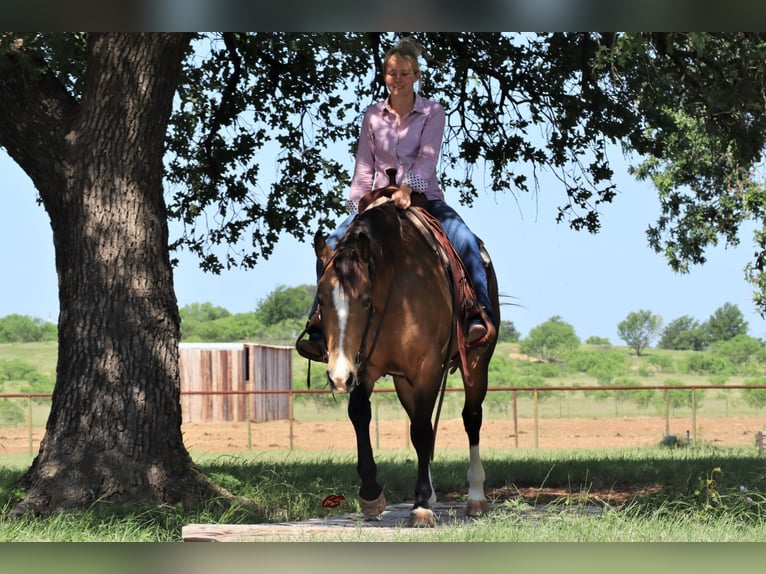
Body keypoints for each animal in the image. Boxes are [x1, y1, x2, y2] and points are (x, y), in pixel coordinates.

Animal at [308, 192, 500, 528]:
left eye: (365, 300)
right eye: (321, 299)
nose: (338, 376)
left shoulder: (426, 367)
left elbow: (423, 431)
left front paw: (421, 505)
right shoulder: (365, 367)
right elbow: (362, 415)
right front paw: (371, 494)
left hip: (477, 363)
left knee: (470, 418)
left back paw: (476, 497)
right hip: (402, 381)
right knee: (420, 420)